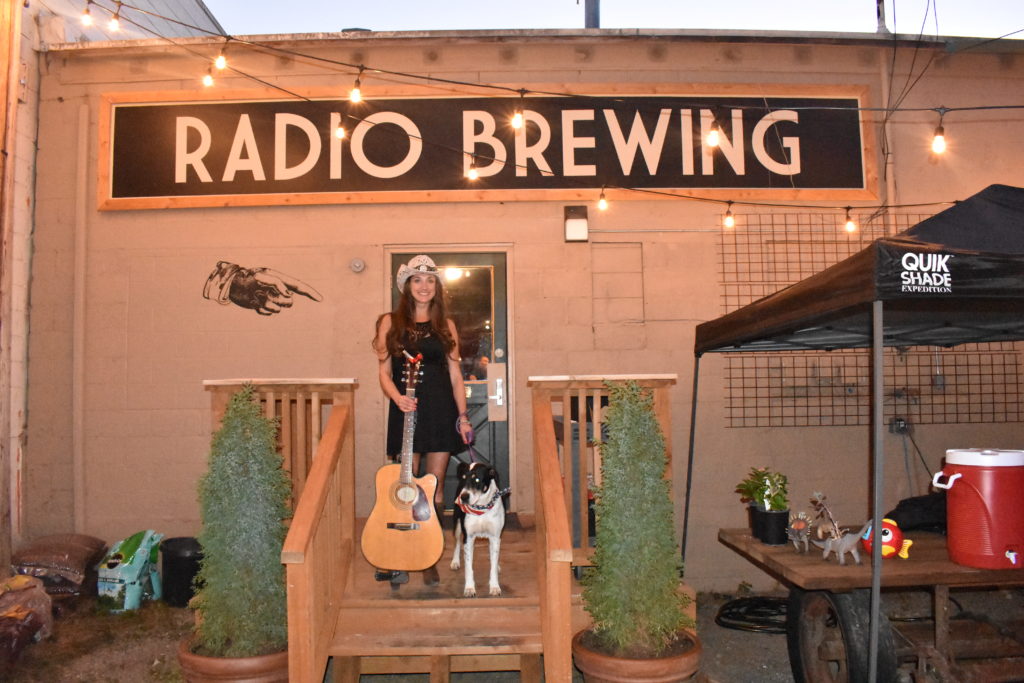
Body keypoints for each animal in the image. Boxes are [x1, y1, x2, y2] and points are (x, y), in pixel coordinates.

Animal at [452, 458, 507, 598]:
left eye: (477, 479)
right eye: (464, 478)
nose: (463, 497)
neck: (481, 507)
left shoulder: (495, 537)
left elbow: (493, 565)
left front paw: (494, 587)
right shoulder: (468, 537)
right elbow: (468, 567)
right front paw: (469, 588)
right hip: (457, 523)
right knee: (457, 542)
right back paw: (455, 561)